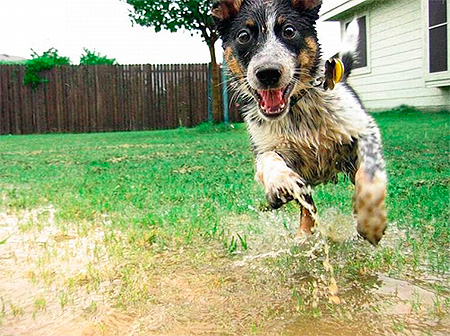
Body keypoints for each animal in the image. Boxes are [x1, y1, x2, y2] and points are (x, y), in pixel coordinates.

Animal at [213, 0, 388, 243]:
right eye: (243, 36)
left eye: (289, 31)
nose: (268, 73)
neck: (297, 110)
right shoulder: (267, 146)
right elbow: (267, 159)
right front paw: (279, 182)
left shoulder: (364, 130)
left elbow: (369, 172)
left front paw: (371, 221)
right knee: (308, 206)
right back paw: (303, 236)